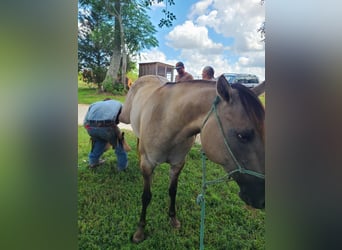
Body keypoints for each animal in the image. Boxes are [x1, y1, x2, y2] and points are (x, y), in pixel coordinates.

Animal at [119, 73, 266, 242]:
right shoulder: (148, 164)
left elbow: (172, 191)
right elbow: (146, 196)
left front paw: (173, 218)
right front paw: (140, 230)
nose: (262, 199)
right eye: (242, 136)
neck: (167, 120)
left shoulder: (177, 164)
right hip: (125, 117)